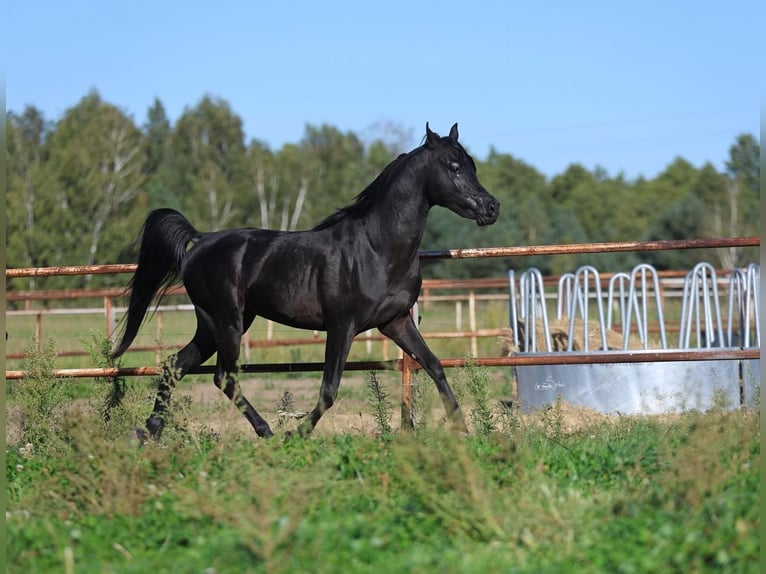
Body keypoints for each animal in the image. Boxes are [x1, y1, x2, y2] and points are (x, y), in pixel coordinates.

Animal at [112, 123, 500, 440]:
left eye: (472, 165)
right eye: (454, 167)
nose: (491, 207)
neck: (377, 247)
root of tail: (200, 240)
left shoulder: (396, 322)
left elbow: (434, 366)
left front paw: (464, 430)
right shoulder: (342, 325)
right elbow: (329, 389)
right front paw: (296, 433)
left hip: (213, 324)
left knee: (174, 365)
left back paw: (151, 431)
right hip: (227, 321)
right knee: (223, 376)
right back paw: (267, 433)